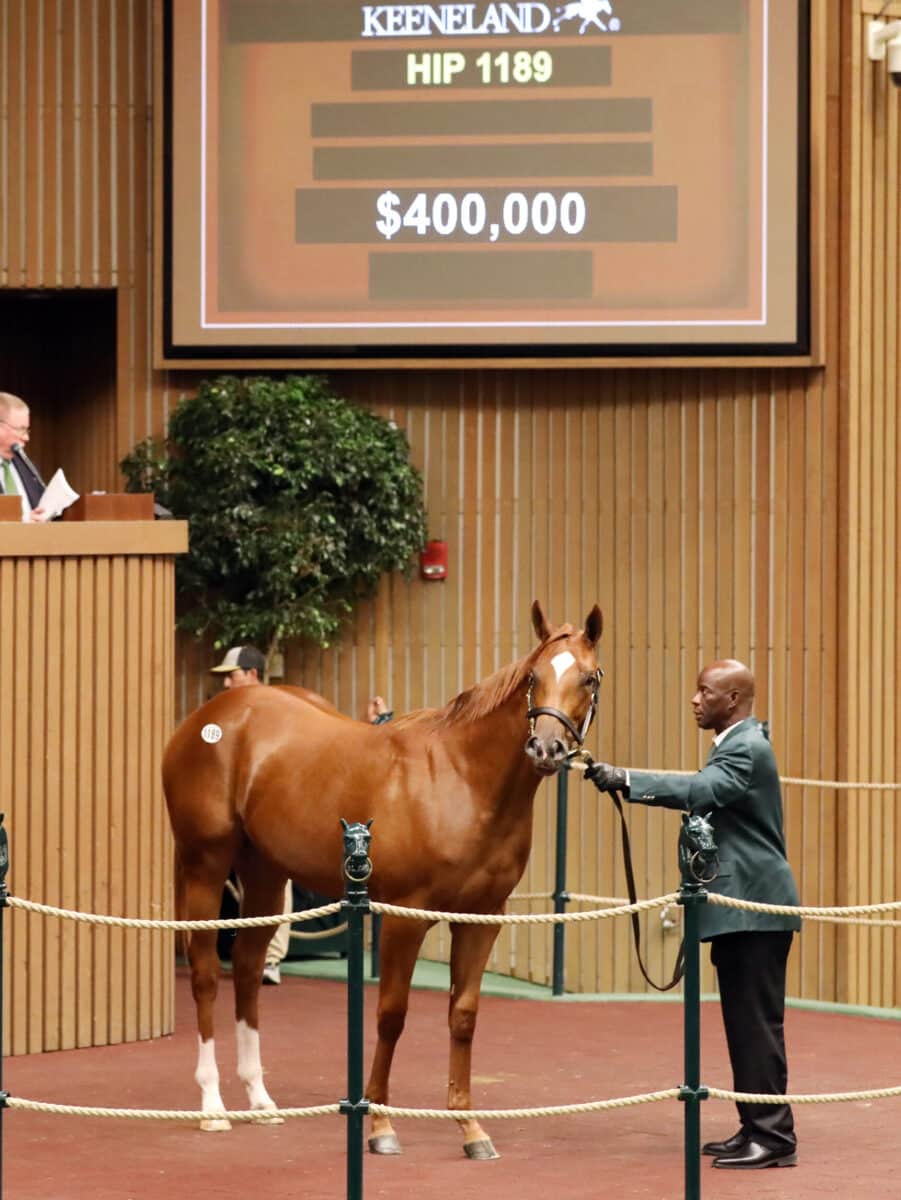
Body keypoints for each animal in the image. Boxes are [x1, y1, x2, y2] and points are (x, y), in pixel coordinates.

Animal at [165, 604, 607, 1156]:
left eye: (589, 677)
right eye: (533, 677)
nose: (545, 747)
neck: (462, 778)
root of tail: (207, 719)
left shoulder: (482, 918)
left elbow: (463, 1015)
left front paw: (471, 1129)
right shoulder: (403, 917)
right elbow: (391, 1015)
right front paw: (378, 1125)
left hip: (264, 870)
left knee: (246, 969)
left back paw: (260, 1101)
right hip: (205, 863)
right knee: (206, 973)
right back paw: (213, 1106)